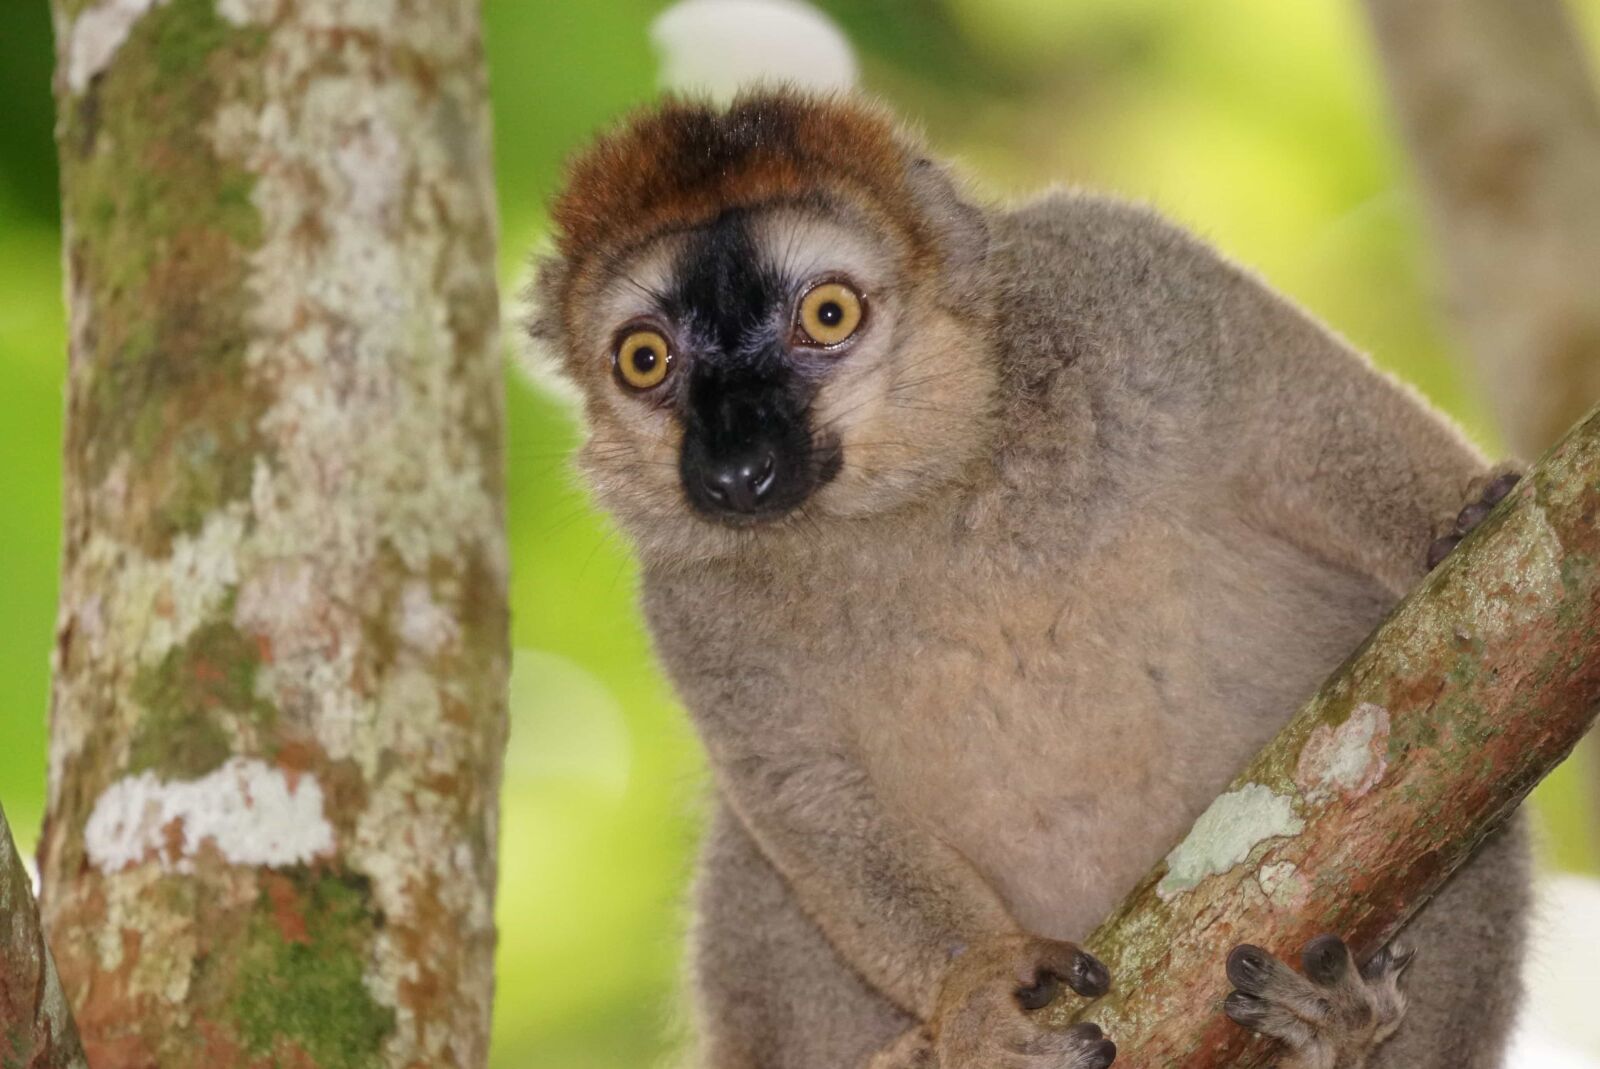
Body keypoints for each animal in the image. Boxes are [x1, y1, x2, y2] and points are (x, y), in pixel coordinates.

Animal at [529, 90, 1529, 1069]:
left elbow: (1292, 413)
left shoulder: (1129, 285)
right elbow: (801, 784)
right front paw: (970, 986)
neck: (917, 503)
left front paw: (1461, 515)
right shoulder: (685, 606)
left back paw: (1336, 1028)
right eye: (645, 359)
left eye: (828, 316)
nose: (737, 465)